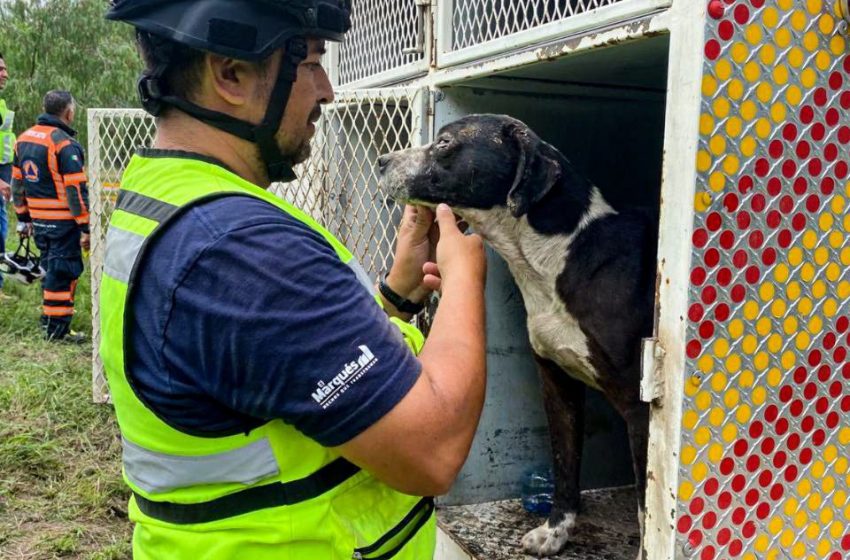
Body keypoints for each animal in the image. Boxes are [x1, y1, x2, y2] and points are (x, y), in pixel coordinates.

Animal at [378, 116, 656, 556]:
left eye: (444, 142)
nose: (381, 160)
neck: (559, 253)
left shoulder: (638, 405)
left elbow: (648, 506)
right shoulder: (556, 383)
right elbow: (564, 464)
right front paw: (554, 532)